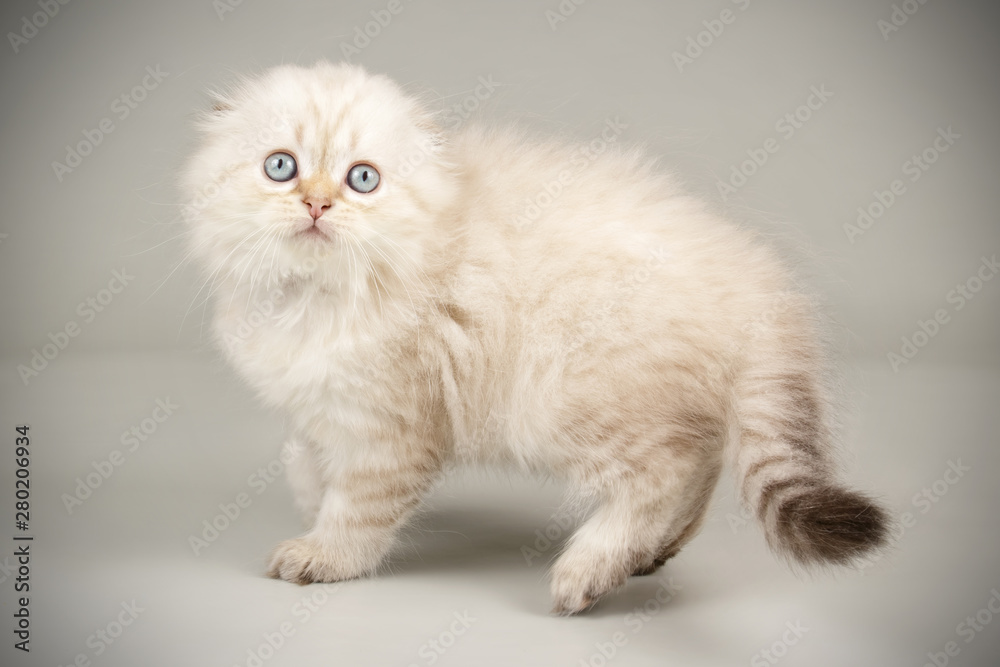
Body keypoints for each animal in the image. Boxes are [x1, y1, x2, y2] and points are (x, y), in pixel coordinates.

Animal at [184, 62, 888, 616]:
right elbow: (304, 459)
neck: (318, 297)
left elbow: (357, 507)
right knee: (705, 458)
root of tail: (751, 276)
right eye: (281, 167)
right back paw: (651, 554)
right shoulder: (317, 402)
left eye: (363, 179)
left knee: (668, 470)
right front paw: (310, 500)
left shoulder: (391, 427)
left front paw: (324, 554)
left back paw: (590, 571)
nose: (317, 205)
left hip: (563, 401)